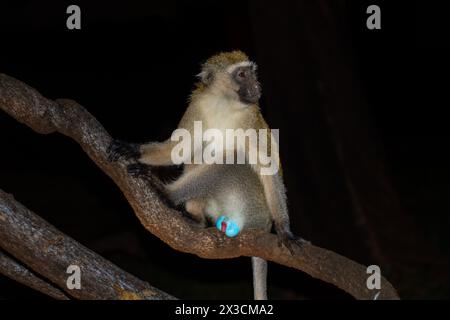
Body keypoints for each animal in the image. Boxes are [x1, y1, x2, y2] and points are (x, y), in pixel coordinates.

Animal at [107, 50, 308, 300]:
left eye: (252, 73)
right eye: (242, 74)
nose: (256, 85)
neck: (225, 104)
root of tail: (263, 226)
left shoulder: (251, 119)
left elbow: (266, 169)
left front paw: (285, 231)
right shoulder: (198, 106)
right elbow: (177, 149)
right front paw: (133, 149)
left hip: (253, 206)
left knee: (232, 157)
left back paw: (166, 193)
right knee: (200, 150)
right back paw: (195, 215)